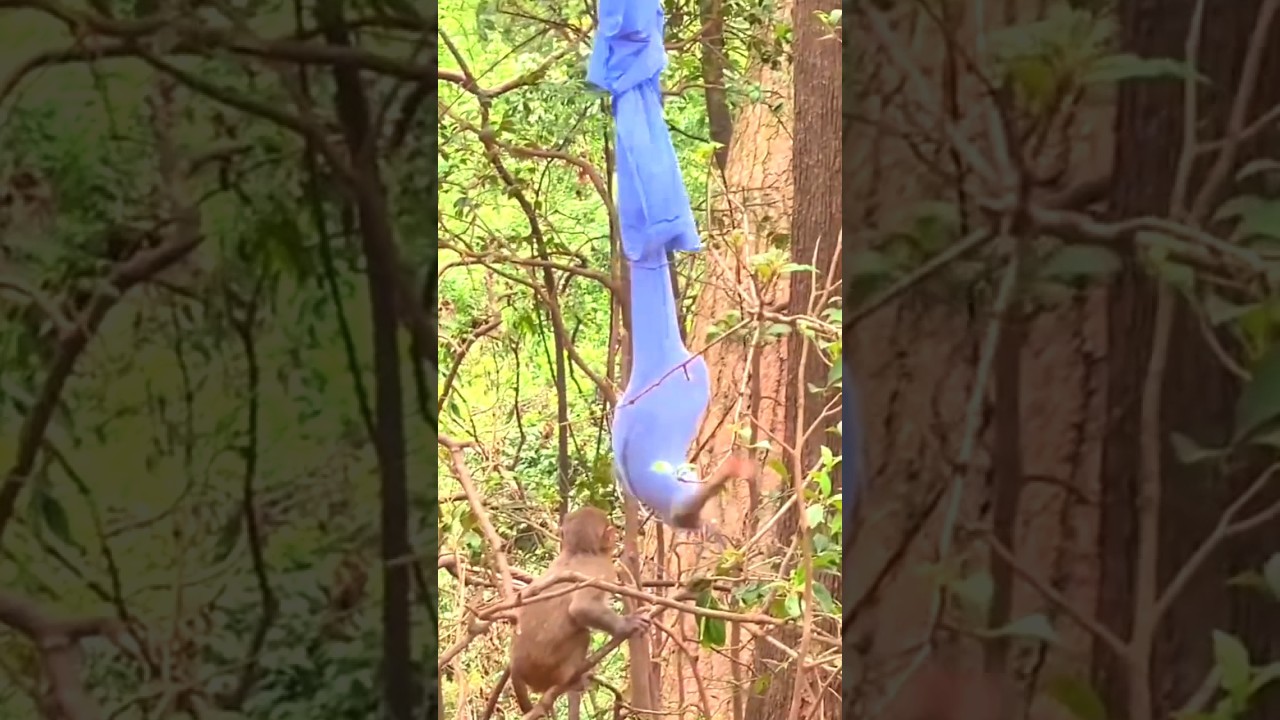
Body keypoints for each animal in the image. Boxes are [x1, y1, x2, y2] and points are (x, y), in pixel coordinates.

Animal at [509, 507, 650, 717]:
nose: (616, 537)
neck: (578, 552)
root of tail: (516, 668)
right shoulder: (602, 570)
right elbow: (581, 608)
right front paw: (627, 624)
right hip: (548, 670)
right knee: (583, 634)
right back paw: (573, 679)